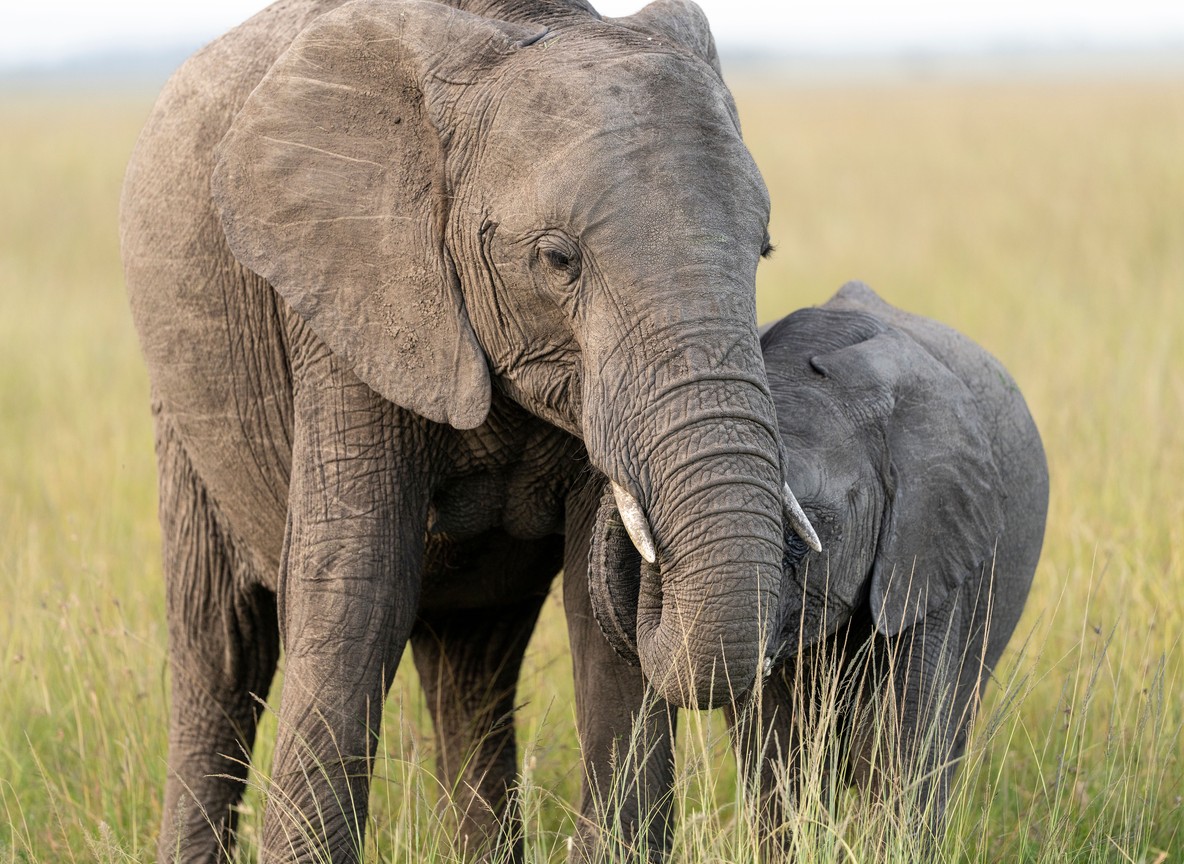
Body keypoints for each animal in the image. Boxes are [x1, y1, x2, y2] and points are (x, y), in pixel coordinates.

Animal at [119, 0, 819, 860]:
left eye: (763, 250)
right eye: (557, 259)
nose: (632, 503)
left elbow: (601, 637)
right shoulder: (349, 302)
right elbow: (356, 597)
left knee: (474, 665)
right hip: (182, 412)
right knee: (221, 651)